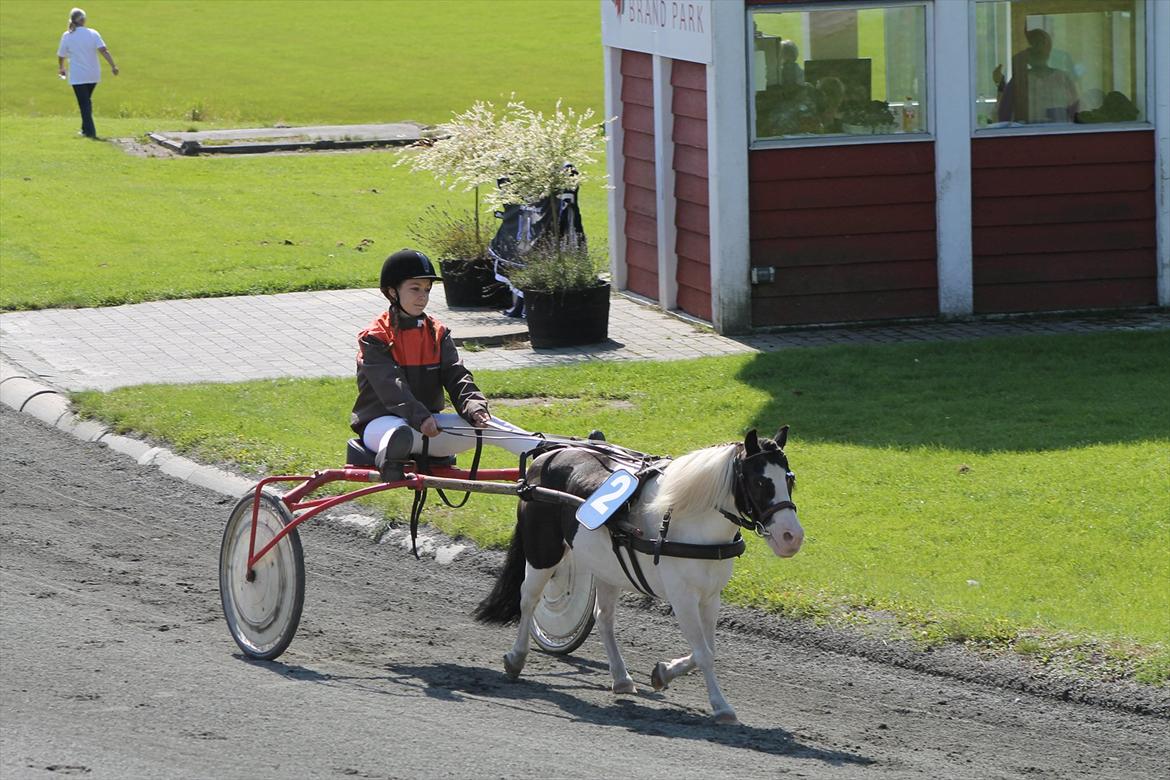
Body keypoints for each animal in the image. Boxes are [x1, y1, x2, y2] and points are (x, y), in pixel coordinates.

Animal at [470, 428, 800, 725]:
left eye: (789, 479)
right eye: (760, 481)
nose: (792, 537)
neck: (686, 519)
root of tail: (546, 456)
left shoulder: (710, 596)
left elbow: (706, 650)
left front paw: (664, 672)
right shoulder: (682, 598)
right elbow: (704, 653)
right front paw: (721, 706)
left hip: (605, 566)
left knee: (603, 618)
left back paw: (620, 677)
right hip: (544, 553)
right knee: (528, 600)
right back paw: (517, 657)